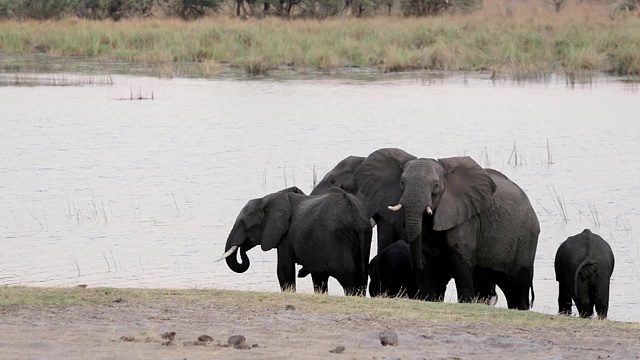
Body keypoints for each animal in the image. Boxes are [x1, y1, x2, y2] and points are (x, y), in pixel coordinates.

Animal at [220, 186, 372, 296]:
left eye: (243, 223)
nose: (242, 247)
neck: (267, 199)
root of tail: (355, 216)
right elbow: (318, 275)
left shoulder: (285, 236)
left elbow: (284, 270)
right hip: (365, 234)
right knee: (361, 276)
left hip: (337, 237)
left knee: (347, 275)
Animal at [356, 148, 540, 310]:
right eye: (402, 183)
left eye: (436, 186)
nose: (415, 269)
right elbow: (426, 253)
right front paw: (428, 299)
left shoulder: (466, 217)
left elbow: (460, 255)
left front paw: (466, 303)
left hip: (526, 238)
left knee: (518, 287)